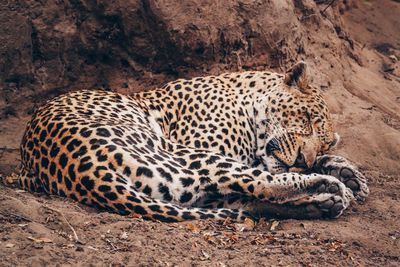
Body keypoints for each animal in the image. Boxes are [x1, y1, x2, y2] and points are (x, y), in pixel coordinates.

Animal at [18, 61, 368, 223]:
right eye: (306, 119)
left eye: (324, 143)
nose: (303, 159)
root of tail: (85, 172)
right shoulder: (212, 147)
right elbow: (266, 171)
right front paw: (337, 176)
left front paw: (347, 172)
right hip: (182, 157)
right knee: (258, 184)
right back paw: (330, 189)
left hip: (178, 184)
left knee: (242, 199)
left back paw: (324, 201)